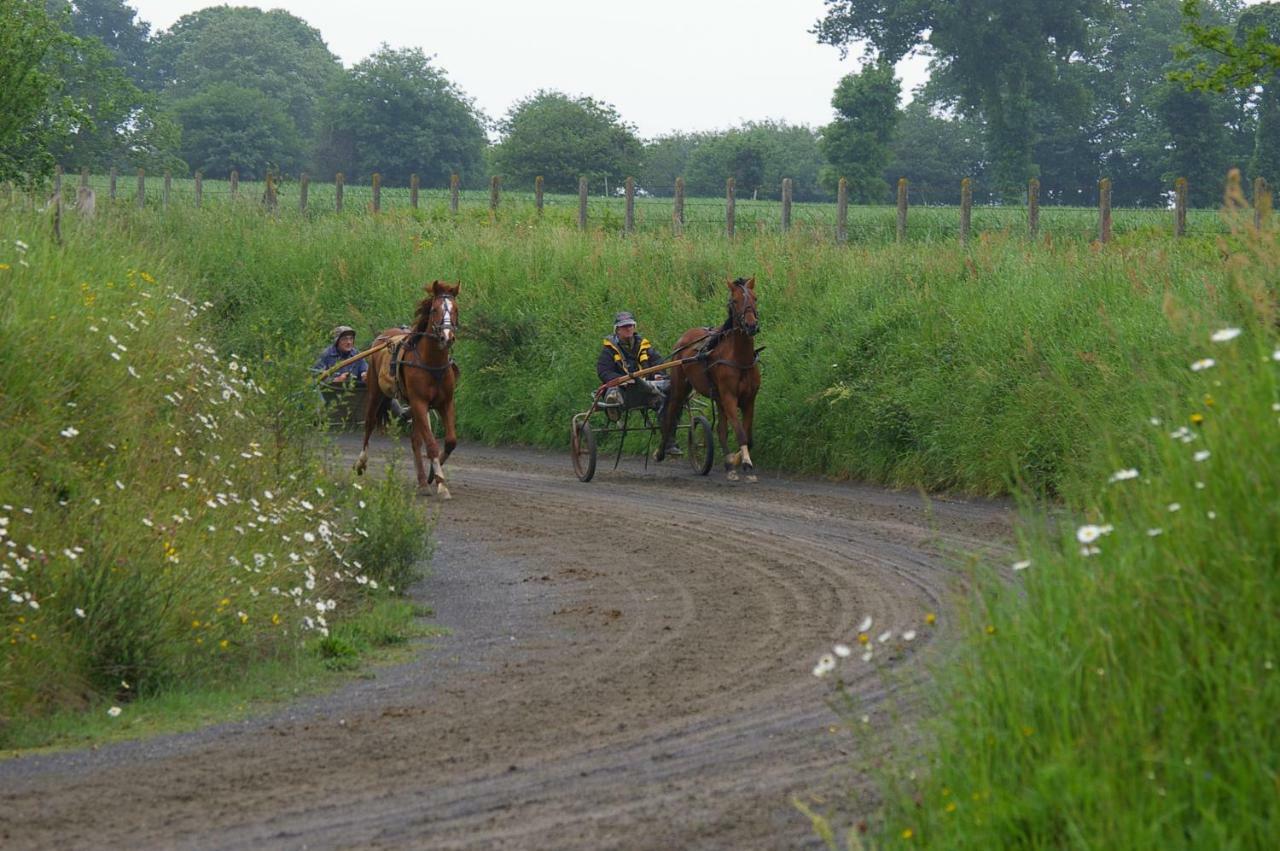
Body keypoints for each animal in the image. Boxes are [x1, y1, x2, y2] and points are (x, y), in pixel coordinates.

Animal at [355, 281, 460, 499]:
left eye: (456, 309)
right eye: (434, 309)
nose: (447, 337)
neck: (432, 363)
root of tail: (383, 336)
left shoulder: (446, 402)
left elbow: (450, 441)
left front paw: (433, 476)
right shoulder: (419, 402)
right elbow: (431, 444)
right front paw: (441, 483)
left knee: (415, 440)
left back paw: (422, 482)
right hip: (375, 392)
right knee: (369, 423)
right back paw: (361, 463)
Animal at [660, 277, 757, 481]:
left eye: (755, 298)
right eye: (735, 301)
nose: (751, 325)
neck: (740, 359)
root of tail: (685, 336)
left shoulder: (749, 399)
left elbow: (747, 437)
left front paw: (735, 461)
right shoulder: (729, 397)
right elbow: (740, 433)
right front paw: (744, 463)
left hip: (717, 398)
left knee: (720, 430)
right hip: (680, 385)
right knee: (671, 412)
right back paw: (662, 450)